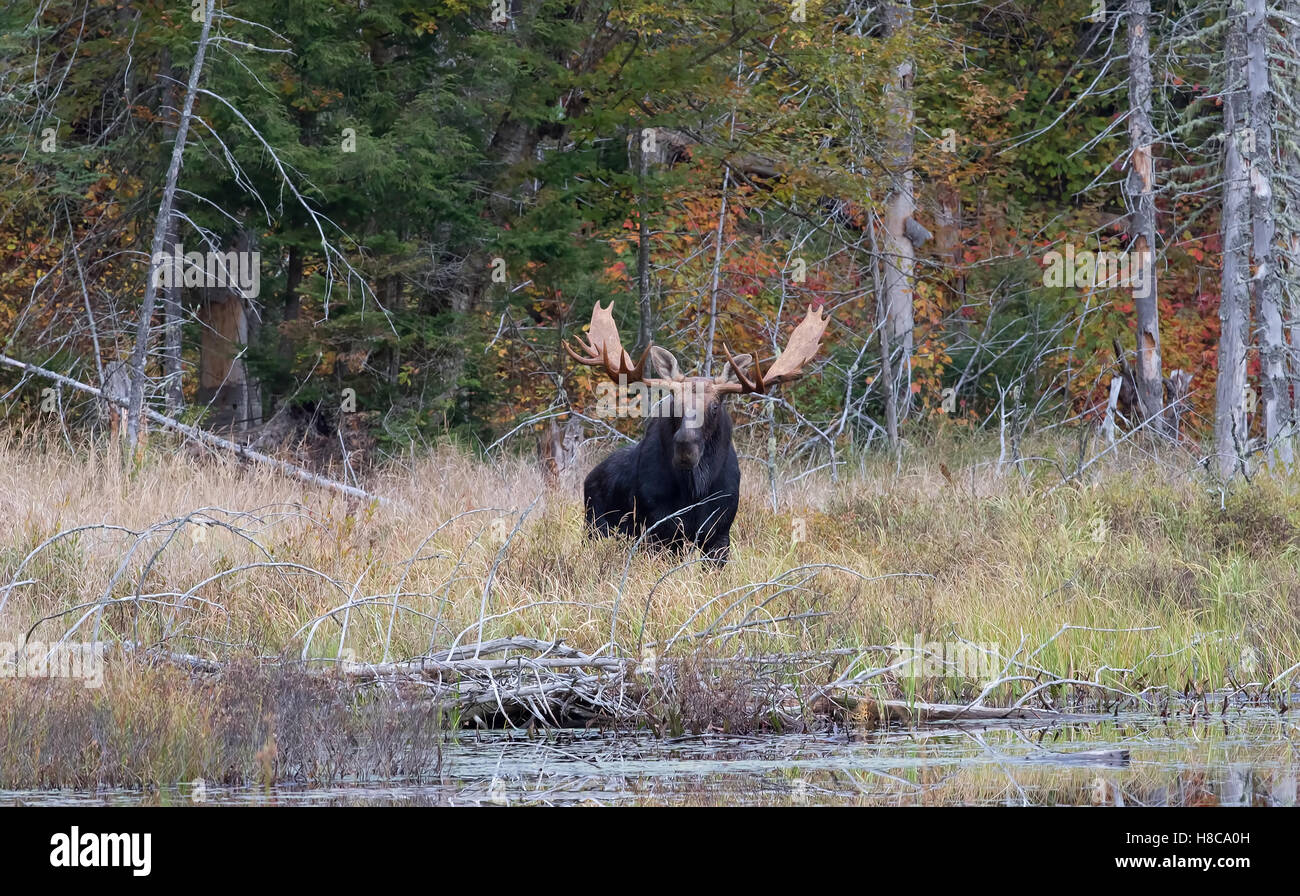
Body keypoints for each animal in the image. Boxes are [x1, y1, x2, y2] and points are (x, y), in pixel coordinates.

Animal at [564, 300, 826, 566]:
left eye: (714, 406)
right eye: (674, 403)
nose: (685, 446)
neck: (695, 491)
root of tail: (590, 477)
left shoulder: (719, 533)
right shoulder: (658, 531)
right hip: (595, 526)